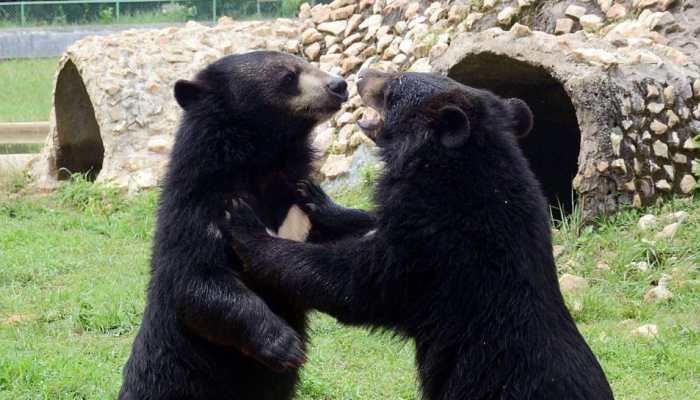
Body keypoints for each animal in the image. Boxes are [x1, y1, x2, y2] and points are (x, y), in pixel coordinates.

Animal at [118, 51, 375, 400]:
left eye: (306, 62)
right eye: (288, 76)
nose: (340, 85)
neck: (265, 162)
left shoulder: (299, 213)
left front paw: (322, 202)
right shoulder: (199, 208)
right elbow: (197, 279)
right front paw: (285, 345)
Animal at [221, 70, 615, 400]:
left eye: (393, 84)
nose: (359, 76)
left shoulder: (435, 249)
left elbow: (355, 283)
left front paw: (244, 224)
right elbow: (368, 230)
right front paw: (315, 197)